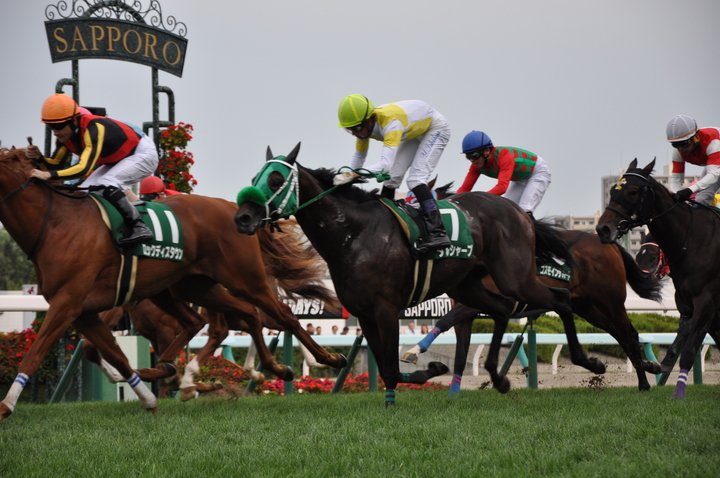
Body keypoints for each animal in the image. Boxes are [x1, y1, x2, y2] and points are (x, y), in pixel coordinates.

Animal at [0, 147, 346, 420]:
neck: (57, 223)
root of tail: (234, 210)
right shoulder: (86, 308)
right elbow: (105, 352)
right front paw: (154, 386)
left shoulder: (70, 302)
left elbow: (38, 352)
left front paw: (6, 407)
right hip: (192, 288)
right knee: (237, 319)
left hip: (242, 280)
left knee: (273, 318)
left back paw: (322, 360)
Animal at [234, 143, 605, 407]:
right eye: (254, 179)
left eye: (276, 180)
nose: (242, 217)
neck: (353, 234)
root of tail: (519, 211)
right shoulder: (363, 313)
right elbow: (387, 366)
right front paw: (422, 376)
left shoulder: (386, 308)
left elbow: (392, 366)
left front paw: (412, 384)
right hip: (468, 285)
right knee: (502, 308)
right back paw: (498, 378)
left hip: (516, 278)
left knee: (561, 299)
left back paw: (590, 362)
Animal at [403, 228, 664, 394]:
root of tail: (609, 245)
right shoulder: (467, 312)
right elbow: (458, 353)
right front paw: (453, 391)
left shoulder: (473, 305)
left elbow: (445, 321)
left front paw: (413, 352)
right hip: (589, 308)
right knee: (620, 335)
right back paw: (650, 367)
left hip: (610, 301)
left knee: (629, 335)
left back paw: (644, 383)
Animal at [596, 158, 720, 399]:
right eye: (614, 190)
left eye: (633, 192)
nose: (603, 229)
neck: (695, 240)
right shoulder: (687, 304)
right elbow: (678, 344)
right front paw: (653, 365)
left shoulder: (707, 301)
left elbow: (689, 350)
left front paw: (678, 393)